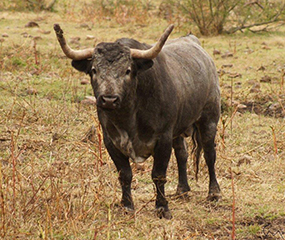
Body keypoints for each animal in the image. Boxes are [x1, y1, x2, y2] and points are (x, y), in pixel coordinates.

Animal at [53, 24, 222, 219]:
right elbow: (125, 174)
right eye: (94, 70)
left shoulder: (163, 138)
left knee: (209, 154)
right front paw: (127, 206)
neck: (128, 118)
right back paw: (182, 190)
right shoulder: (111, 141)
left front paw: (162, 207)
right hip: (178, 130)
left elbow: (158, 174)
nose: (109, 100)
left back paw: (214, 193)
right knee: (182, 154)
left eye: (127, 70)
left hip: (209, 120)